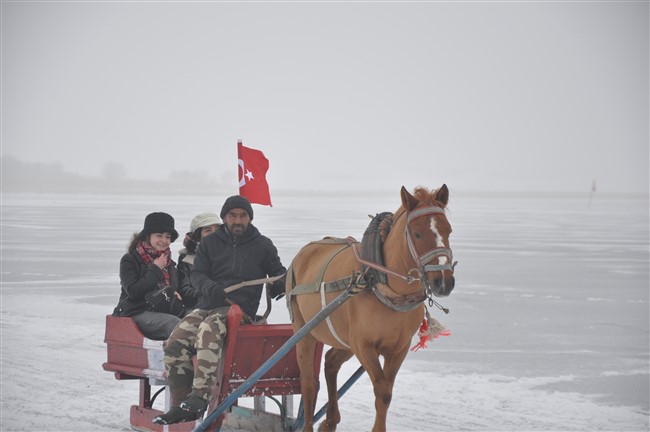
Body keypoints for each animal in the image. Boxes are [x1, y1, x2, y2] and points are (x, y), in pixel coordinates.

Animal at [286, 185, 454, 432]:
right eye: (417, 233)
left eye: (448, 230)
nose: (443, 282)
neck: (383, 284)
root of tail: (307, 249)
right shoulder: (363, 345)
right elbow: (382, 390)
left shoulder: (399, 348)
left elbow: (387, 392)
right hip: (304, 330)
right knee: (308, 384)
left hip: (344, 339)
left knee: (330, 363)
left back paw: (331, 419)